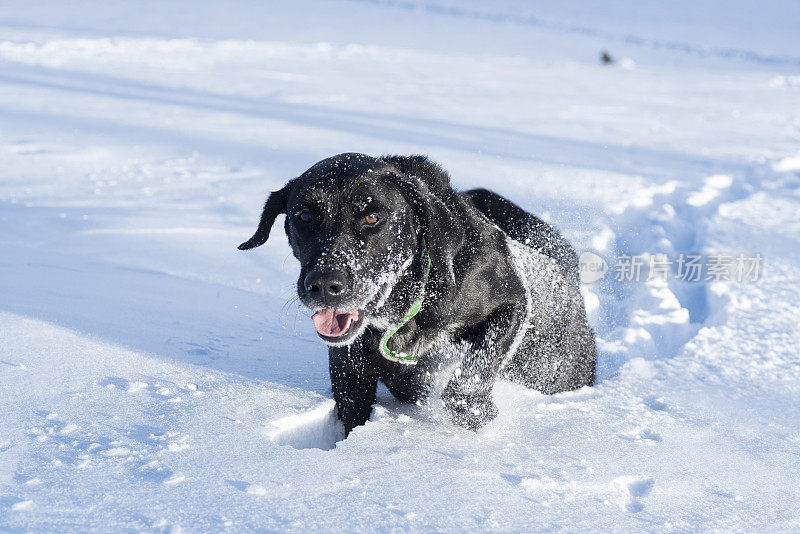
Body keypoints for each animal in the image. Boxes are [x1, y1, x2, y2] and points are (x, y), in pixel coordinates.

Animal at [241, 154, 596, 436]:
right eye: (304, 216)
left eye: (372, 216)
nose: (325, 285)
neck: (412, 299)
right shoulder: (349, 368)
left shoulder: (513, 303)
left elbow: (469, 381)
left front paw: (478, 415)